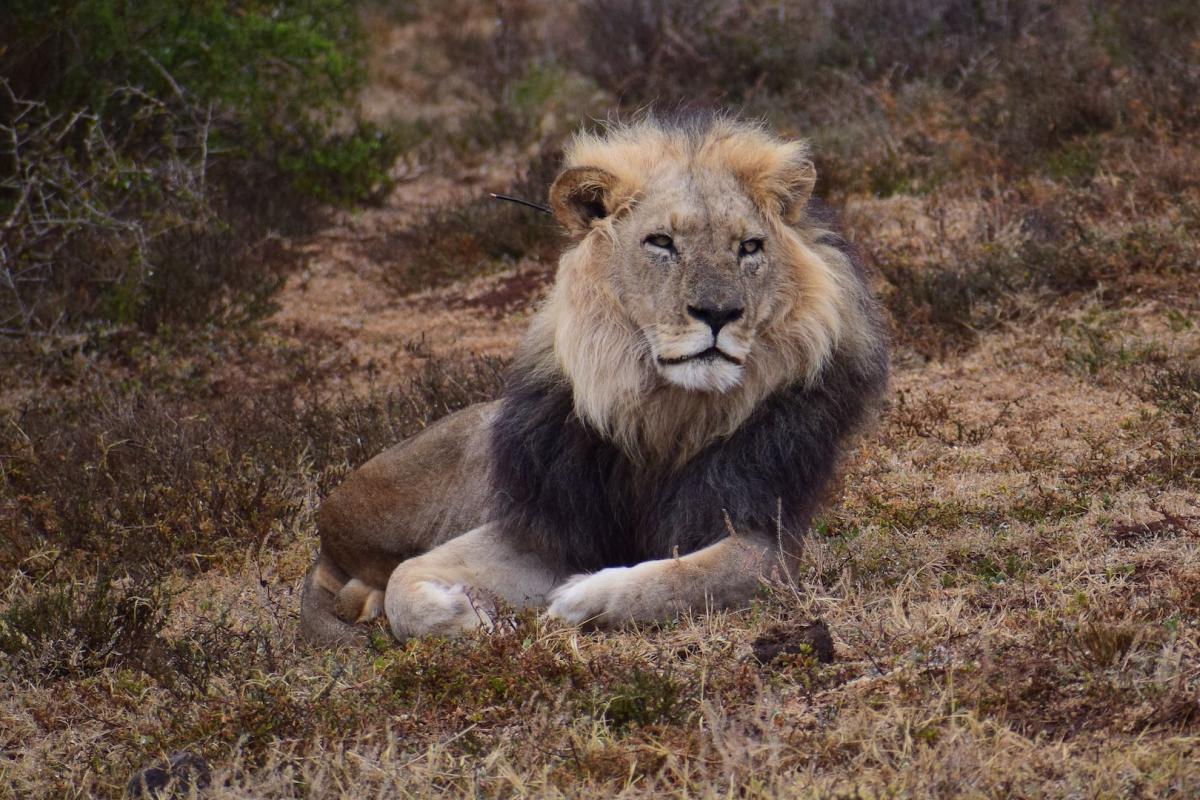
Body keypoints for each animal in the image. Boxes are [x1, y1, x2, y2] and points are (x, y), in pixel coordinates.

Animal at [296, 115, 888, 647]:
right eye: (661, 242)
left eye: (749, 247)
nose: (718, 313)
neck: (664, 414)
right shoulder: (547, 522)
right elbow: (407, 580)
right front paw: (468, 618)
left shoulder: (768, 538)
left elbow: (684, 577)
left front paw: (580, 599)